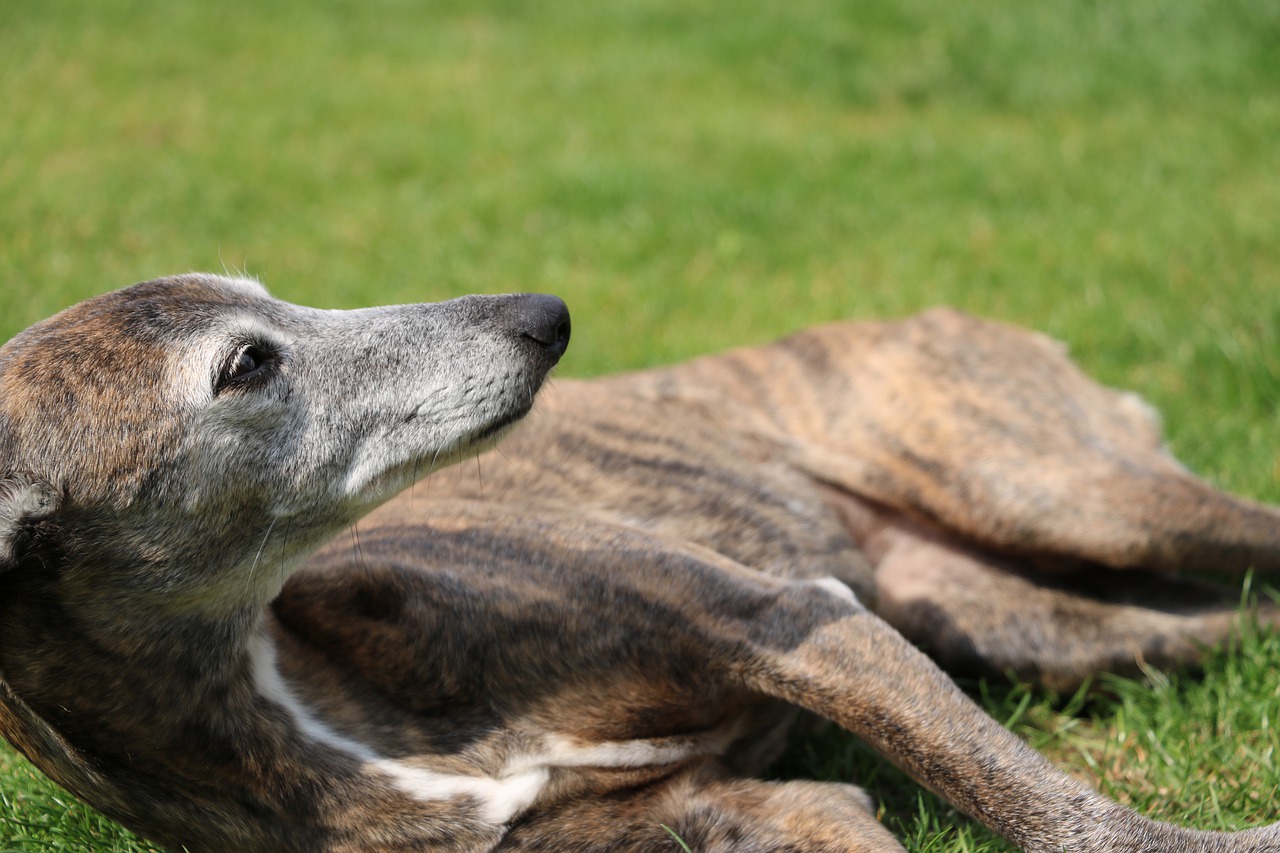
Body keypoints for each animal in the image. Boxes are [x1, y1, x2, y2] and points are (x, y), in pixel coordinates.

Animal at [0, 275, 1274, 845]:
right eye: (248, 364)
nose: (544, 314)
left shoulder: (787, 619)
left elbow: (1060, 815)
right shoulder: (741, 807)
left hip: (1076, 497)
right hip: (1027, 617)